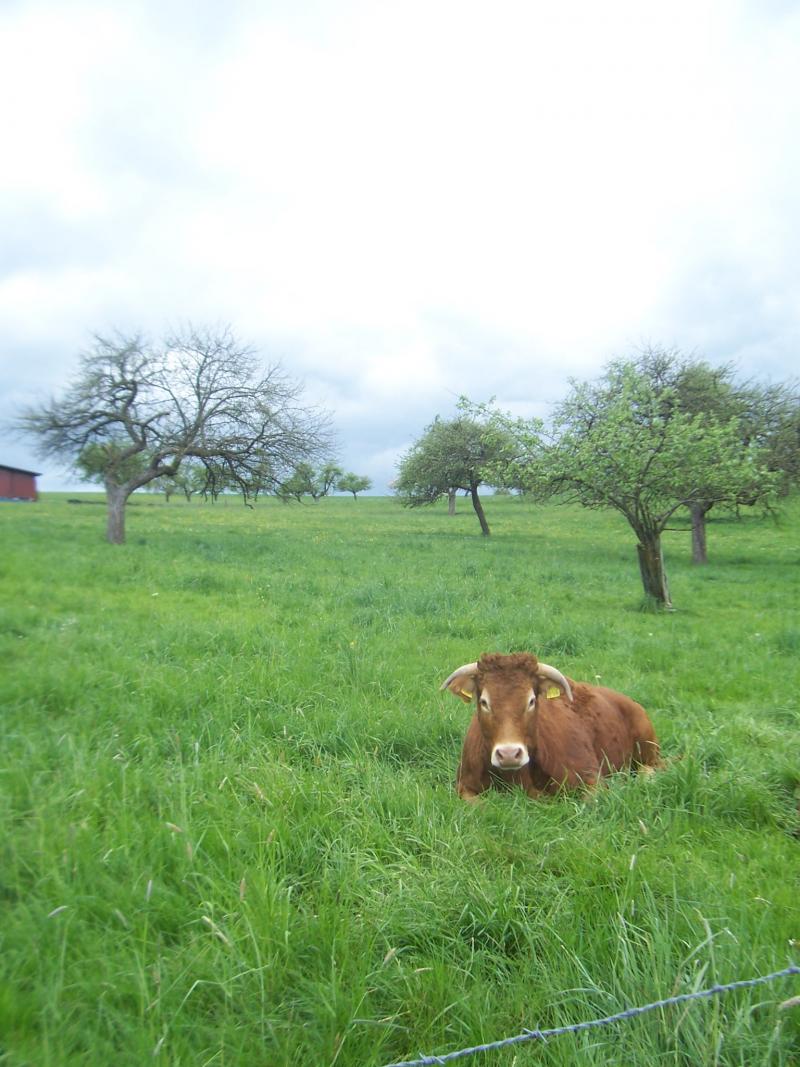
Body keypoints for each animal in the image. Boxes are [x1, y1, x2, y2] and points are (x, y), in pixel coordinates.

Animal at [441, 648, 661, 802]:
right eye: (484, 702)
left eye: (531, 701)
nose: (509, 754)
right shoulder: (464, 786)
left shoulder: (592, 780)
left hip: (648, 749)